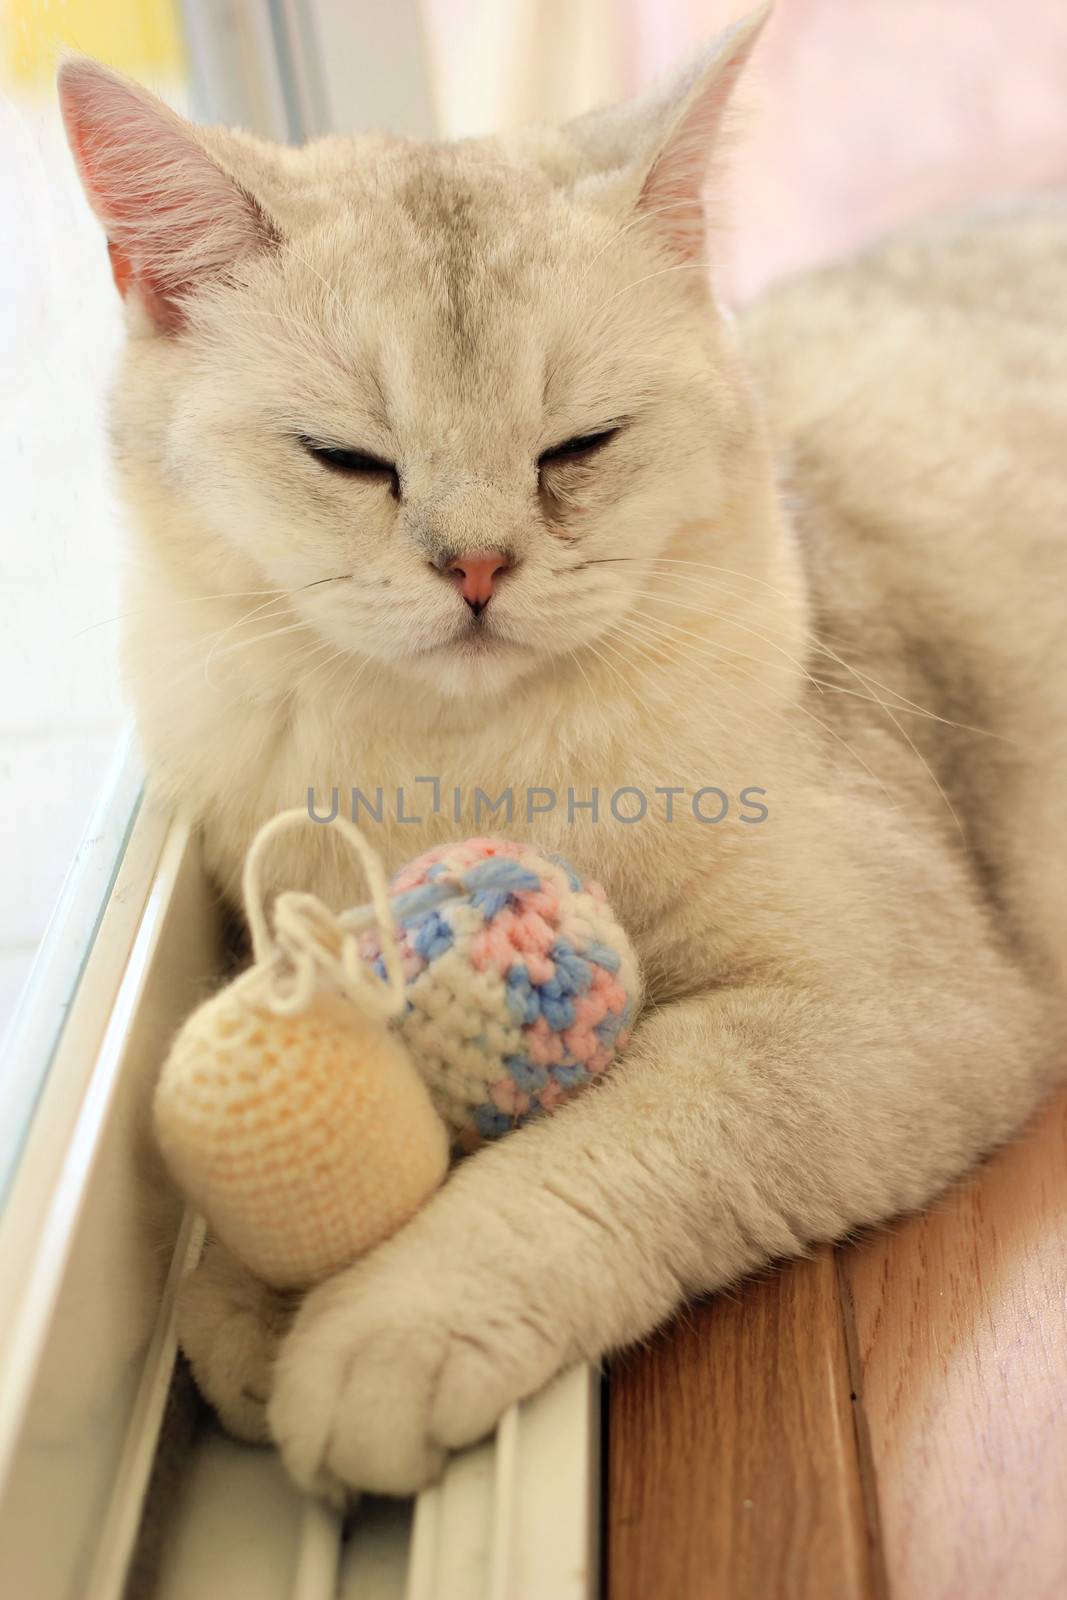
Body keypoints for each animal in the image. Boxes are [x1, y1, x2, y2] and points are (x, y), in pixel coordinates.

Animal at [58, 3, 1067, 1497]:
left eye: (577, 446)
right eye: (347, 460)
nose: (477, 566)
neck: (455, 762)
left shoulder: (893, 1008)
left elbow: (614, 1142)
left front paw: (380, 1325)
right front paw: (255, 1291)